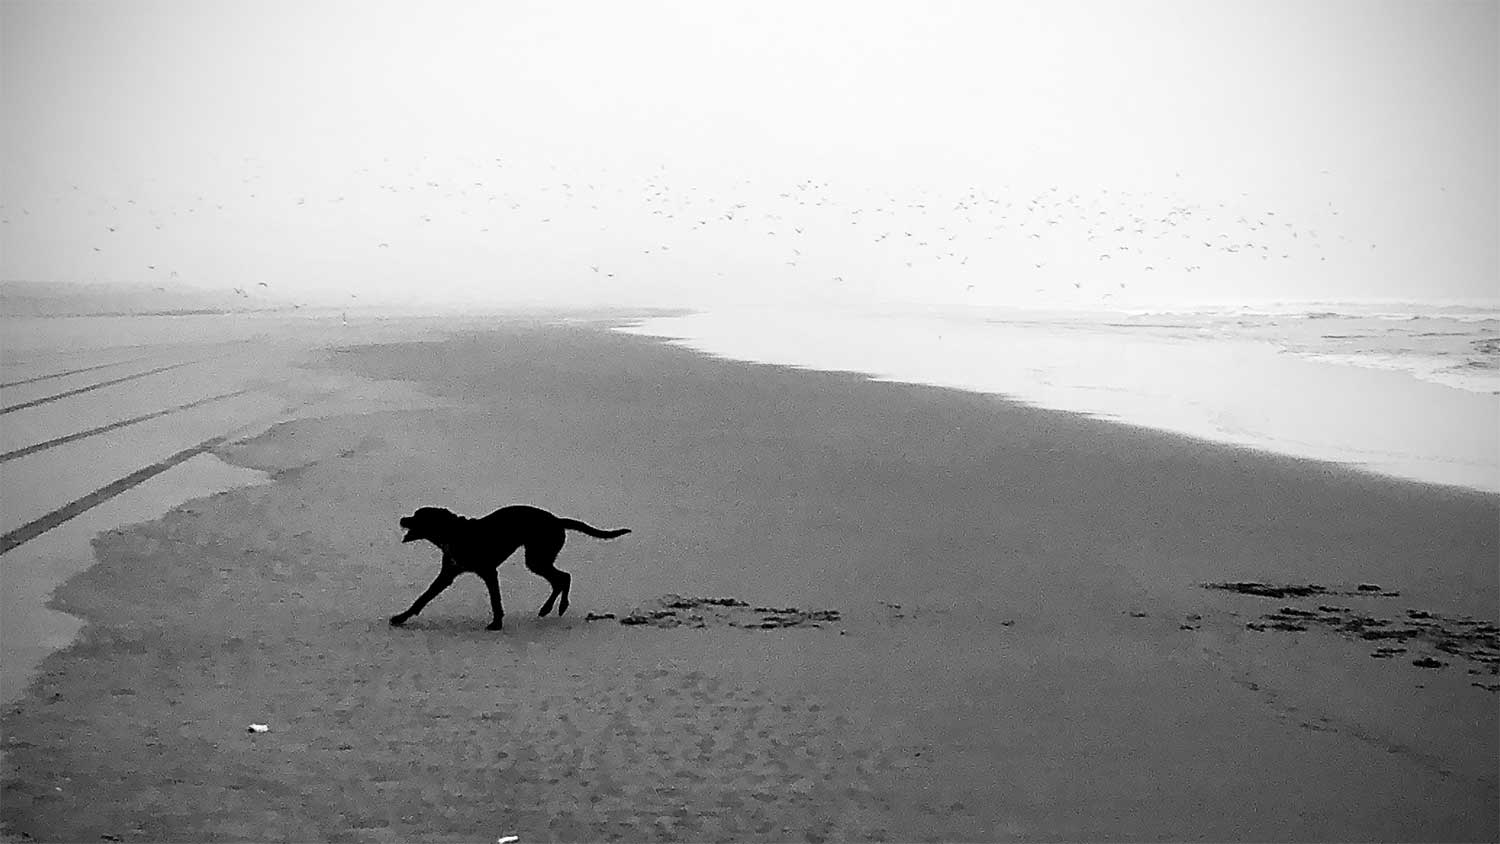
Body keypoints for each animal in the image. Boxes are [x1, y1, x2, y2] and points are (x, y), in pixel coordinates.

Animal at [390, 506, 630, 629]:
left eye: (417, 516)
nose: (402, 518)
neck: (455, 533)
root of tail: (557, 520)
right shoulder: (447, 575)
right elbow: (422, 598)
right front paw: (401, 617)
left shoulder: (488, 572)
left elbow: (495, 601)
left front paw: (496, 623)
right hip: (537, 559)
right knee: (560, 579)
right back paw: (548, 609)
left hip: (537, 558)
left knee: (564, 577)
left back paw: (557, 607)